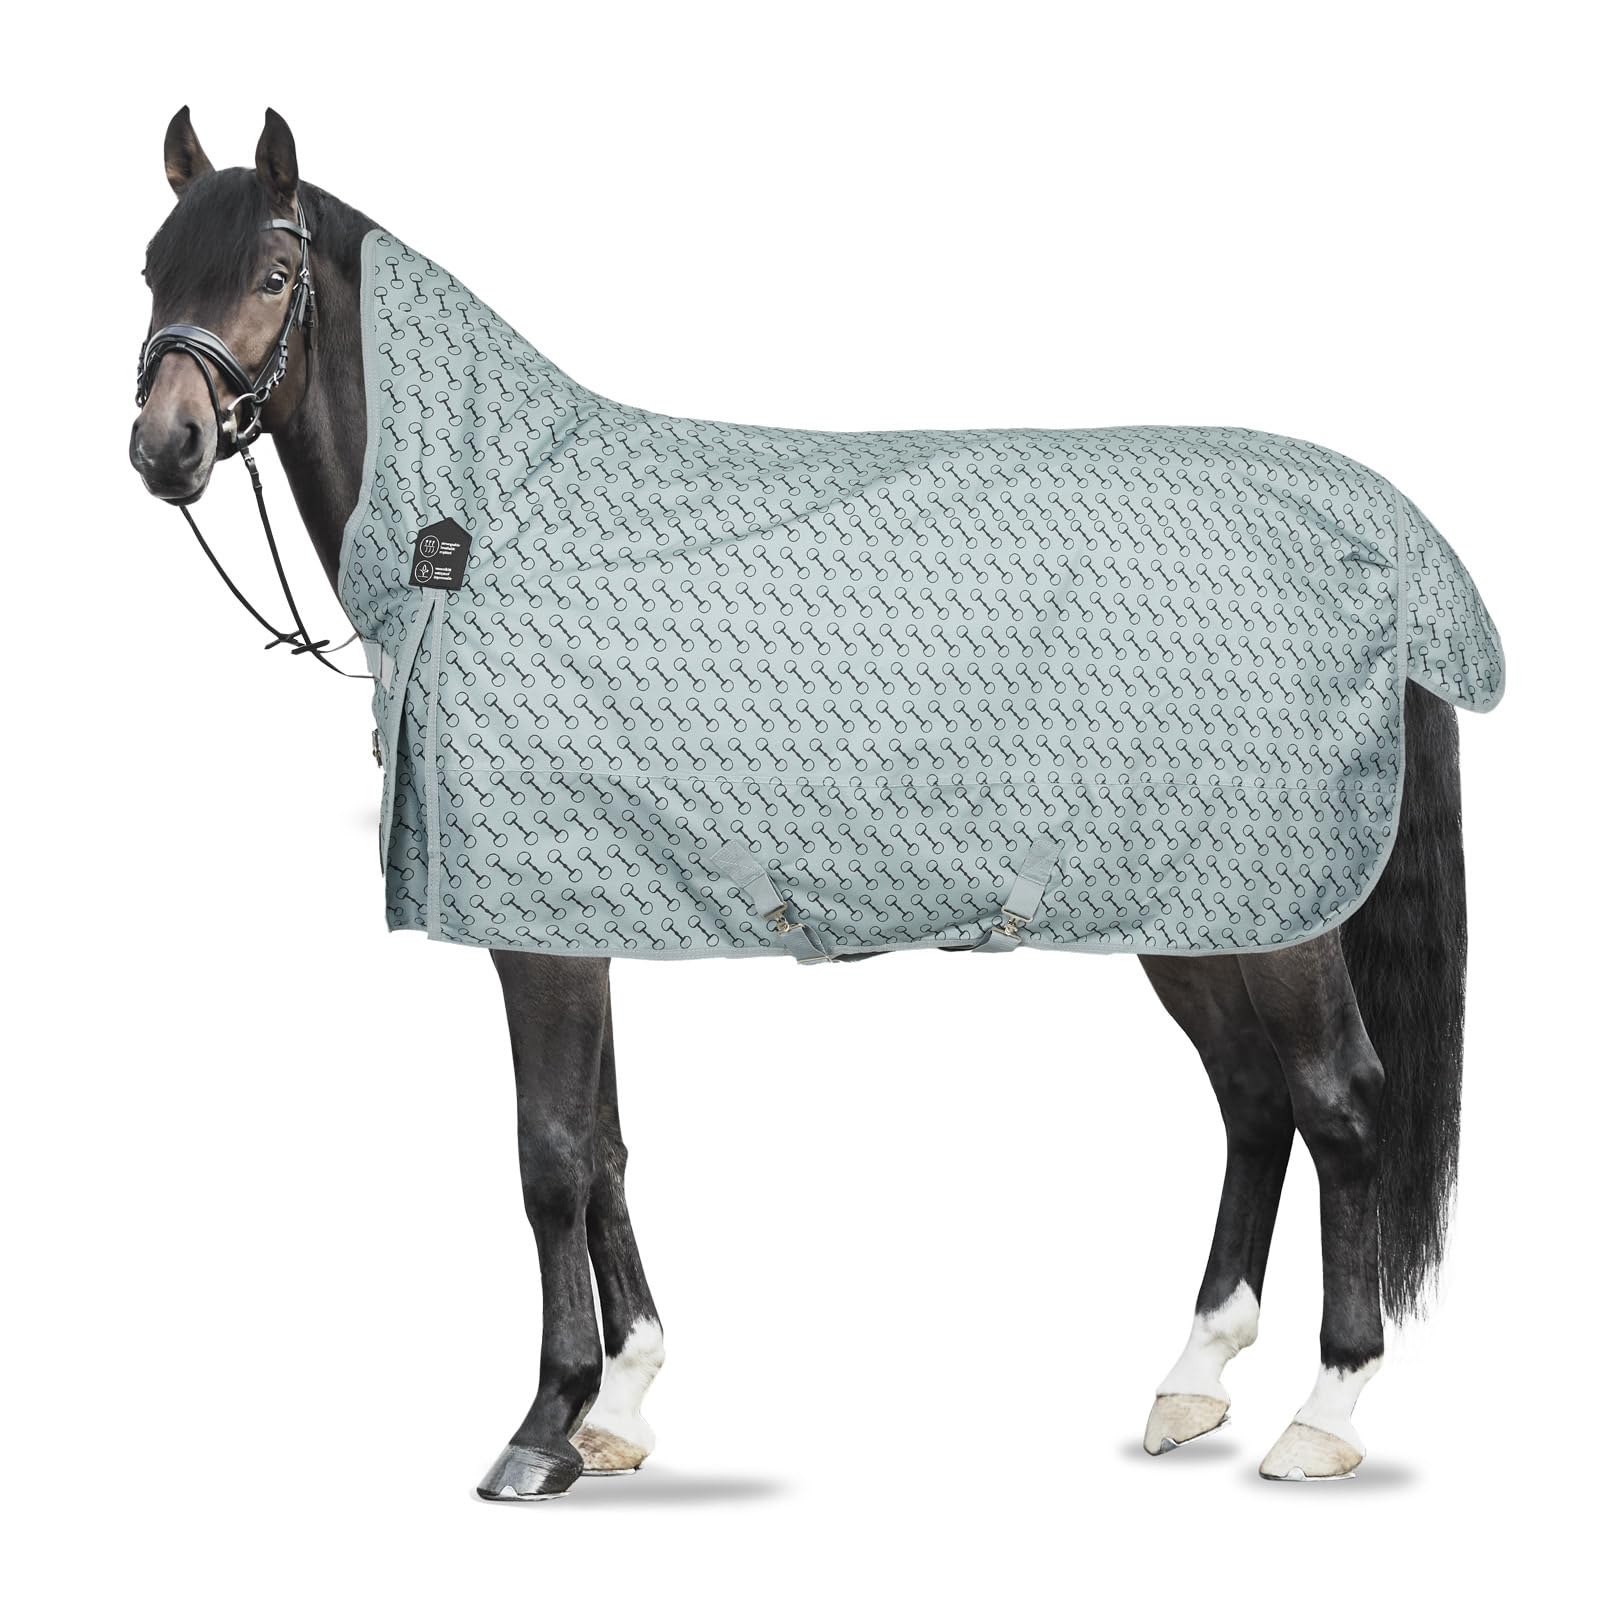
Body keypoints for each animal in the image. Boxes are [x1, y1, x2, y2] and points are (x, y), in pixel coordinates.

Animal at [128, 107, 1500, 1498]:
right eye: (150, 270)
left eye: (272, 275)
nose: (164, 446)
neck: (481, 533)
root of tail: (1385, 539)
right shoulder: (584, 917)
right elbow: (607, 1148)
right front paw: (622, 1403)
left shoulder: (536, 931)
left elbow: (550, 1156)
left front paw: (543, 1422)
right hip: (1200, 909)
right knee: (1255, 1101)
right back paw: (1194, 1379)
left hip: (1281, 919)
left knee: (1339, 1102)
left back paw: (1324, 1412)